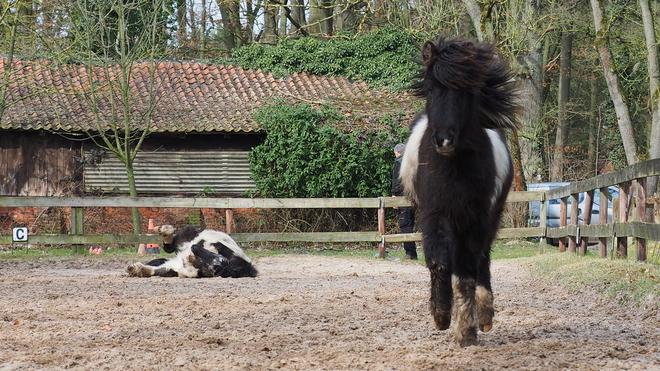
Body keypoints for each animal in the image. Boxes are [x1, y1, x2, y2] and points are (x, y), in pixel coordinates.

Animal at [125, 225, 260, 278]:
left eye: (214, 266)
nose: (193, 248)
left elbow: (158, 270)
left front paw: (136, 269)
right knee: (170, 246)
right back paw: (165, 231)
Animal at [400, 36, 520, 348]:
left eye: (465, 92)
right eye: (431, 88)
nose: (444, 140)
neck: (454, 167)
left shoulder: (475, 218)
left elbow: (467, 270)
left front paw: (466, 329)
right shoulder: (434, 214)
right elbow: (440, 262)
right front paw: (442, 315)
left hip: (488, 218)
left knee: (482, 257)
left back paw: (485, 314)